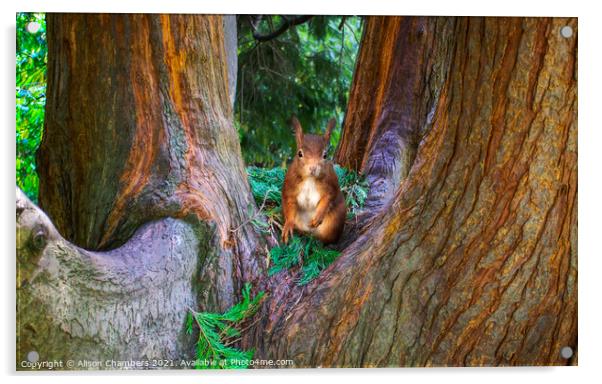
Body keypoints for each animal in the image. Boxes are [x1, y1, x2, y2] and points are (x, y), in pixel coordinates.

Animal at [280, 115, 344, 244]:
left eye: (325, 155)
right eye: (299, 153)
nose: (313, 168)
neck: (310, 179)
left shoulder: (331, 183)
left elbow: (329, 197)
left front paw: (318, 216)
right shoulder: (290, 185)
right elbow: (289, 203)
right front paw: (288, 225)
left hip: (336, 219)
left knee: (327, 238)